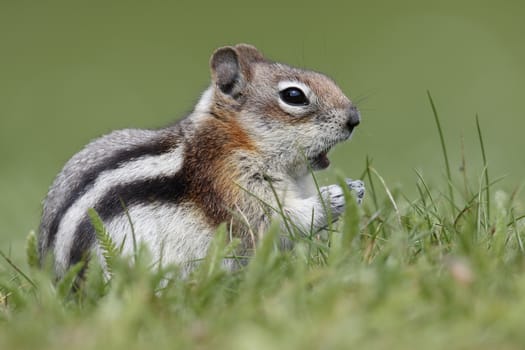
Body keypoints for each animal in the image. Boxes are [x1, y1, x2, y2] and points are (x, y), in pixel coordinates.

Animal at [37, 44, 364, 278]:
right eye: (294, 96)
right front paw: (335, 196)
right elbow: (273, 222)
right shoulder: (229, 182)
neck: (239, 139)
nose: (354, 119)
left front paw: (357, 188)